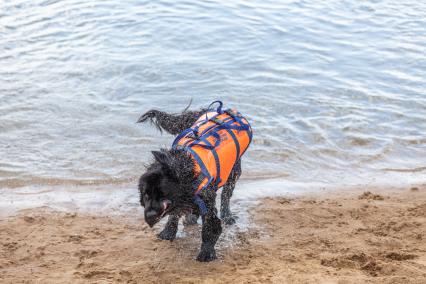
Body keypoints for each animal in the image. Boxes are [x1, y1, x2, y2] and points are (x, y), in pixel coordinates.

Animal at [137, 105, 246, 260]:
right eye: (146, 196)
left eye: (163, 195)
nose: (150, 215)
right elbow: (174, 214)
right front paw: (168, 232)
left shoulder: (206, 201)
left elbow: (210, 227)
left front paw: (207, 252)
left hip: (233, 170)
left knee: (226, 194)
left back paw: (227, 216)